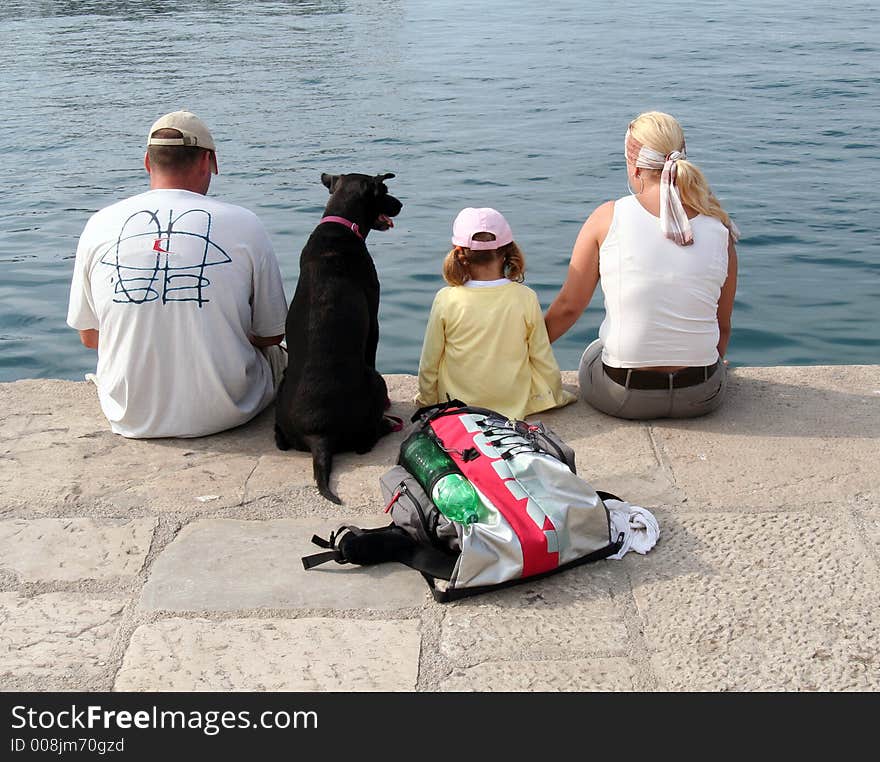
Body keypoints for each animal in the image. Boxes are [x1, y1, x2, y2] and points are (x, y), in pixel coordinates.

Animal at [274, 174, 404, 502]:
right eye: (384, 191)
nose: (400, 204)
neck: (341, 223)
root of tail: (319, 437)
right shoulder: (374, 320)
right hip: (375, 381)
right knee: (367, 440)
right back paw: (385, 424)